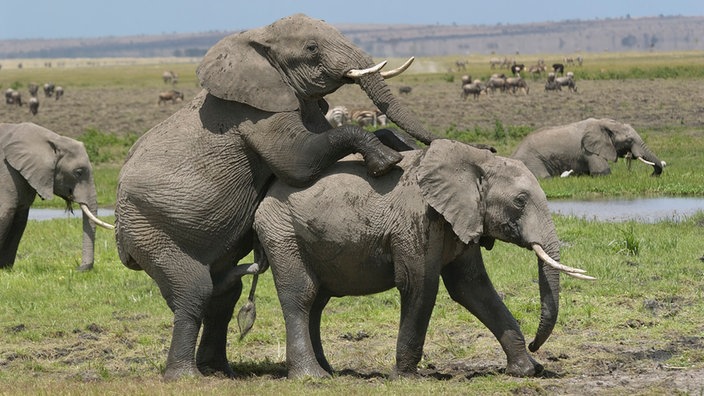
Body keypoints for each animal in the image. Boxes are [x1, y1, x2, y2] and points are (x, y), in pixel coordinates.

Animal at [0, 122, 113, 270]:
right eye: (78, 172)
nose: (79, 268)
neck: (53, 139)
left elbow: (19, 220)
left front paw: (6, 269)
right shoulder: (5, 171)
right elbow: (5, 214)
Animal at [113, 13, 438, 380]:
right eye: (311, 48)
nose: (434, 142)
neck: (257, 37)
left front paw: (400, 148)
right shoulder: (256, 114)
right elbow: (298, 162)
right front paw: (387, 163)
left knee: (224, 292)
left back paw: (218, 370)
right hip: (150, 228)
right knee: (194, 291)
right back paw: (186, 377)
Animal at [253, 139, 592, 380]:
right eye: (520, 201)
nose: (536, 347)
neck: (476, 161)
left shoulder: (463, 218)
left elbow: (473, 288)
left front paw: (525, 370)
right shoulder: (415, 219)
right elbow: (420, 285)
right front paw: (405, 377)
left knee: (318, 302)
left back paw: (329, 371)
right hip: (282, 232)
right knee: (302, 296)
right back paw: (311, 377)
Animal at [512, 117, 664, 178]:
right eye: (629, 140)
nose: (651, 175)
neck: (603, 123)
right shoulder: (589, 151)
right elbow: (603, 172)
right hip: (532, 160)